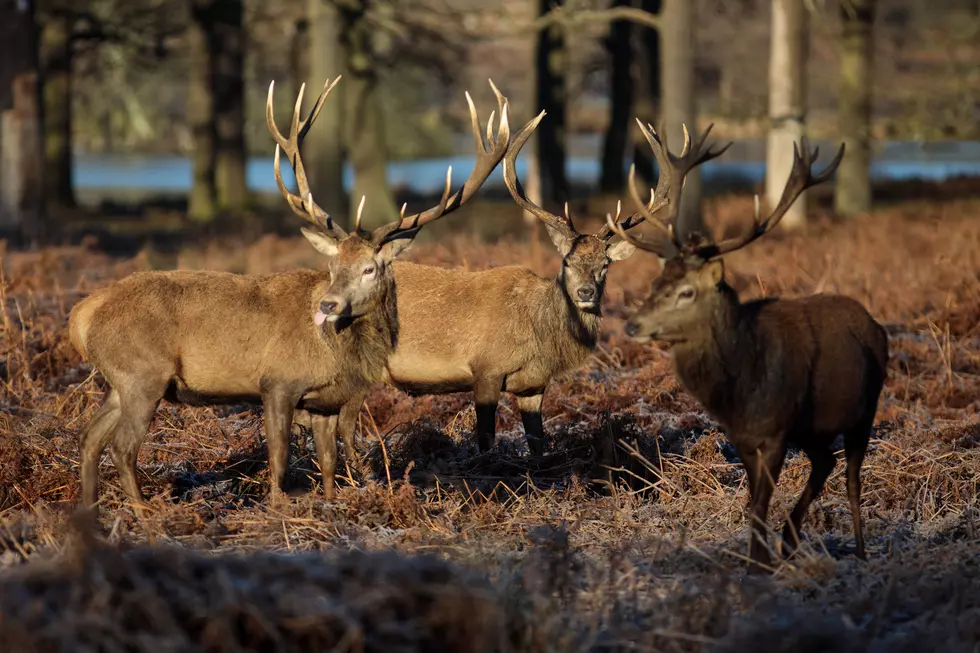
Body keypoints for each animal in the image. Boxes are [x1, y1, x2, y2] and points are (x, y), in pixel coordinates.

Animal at [68, 75, 512, 504]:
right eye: (332, 265)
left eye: (369, 268)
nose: (329, 304)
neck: (338, 355)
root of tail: (83, 314)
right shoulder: (277, 382)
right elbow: (279, 458)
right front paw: (279, 509)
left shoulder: (324, 401)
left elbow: (329, 462)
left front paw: (331, 505)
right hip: (142, 373)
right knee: (122, 447)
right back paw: (146, 511)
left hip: (118, 380)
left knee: (89, 438)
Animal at [320, 108, 660, 464]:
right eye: (566, 261)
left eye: (605, 265)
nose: (585, 292)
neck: (541, 339)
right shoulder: (486, 368)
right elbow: (485, 437)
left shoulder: (533, 385)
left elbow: (538, 440)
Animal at [608, 121, 884, 564]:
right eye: (655, 283)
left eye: (687, 292)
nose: (633, 325)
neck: (744, 386)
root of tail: (875, 324)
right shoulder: (742, 435)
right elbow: (753, 501)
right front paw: (761, 558)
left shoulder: (776, 431)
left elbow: (760, 504)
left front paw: (759, 564)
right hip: (812, 429)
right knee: (824, 462)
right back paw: (790, 541)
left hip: (865, 409)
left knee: (852, 478)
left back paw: (858, 552)